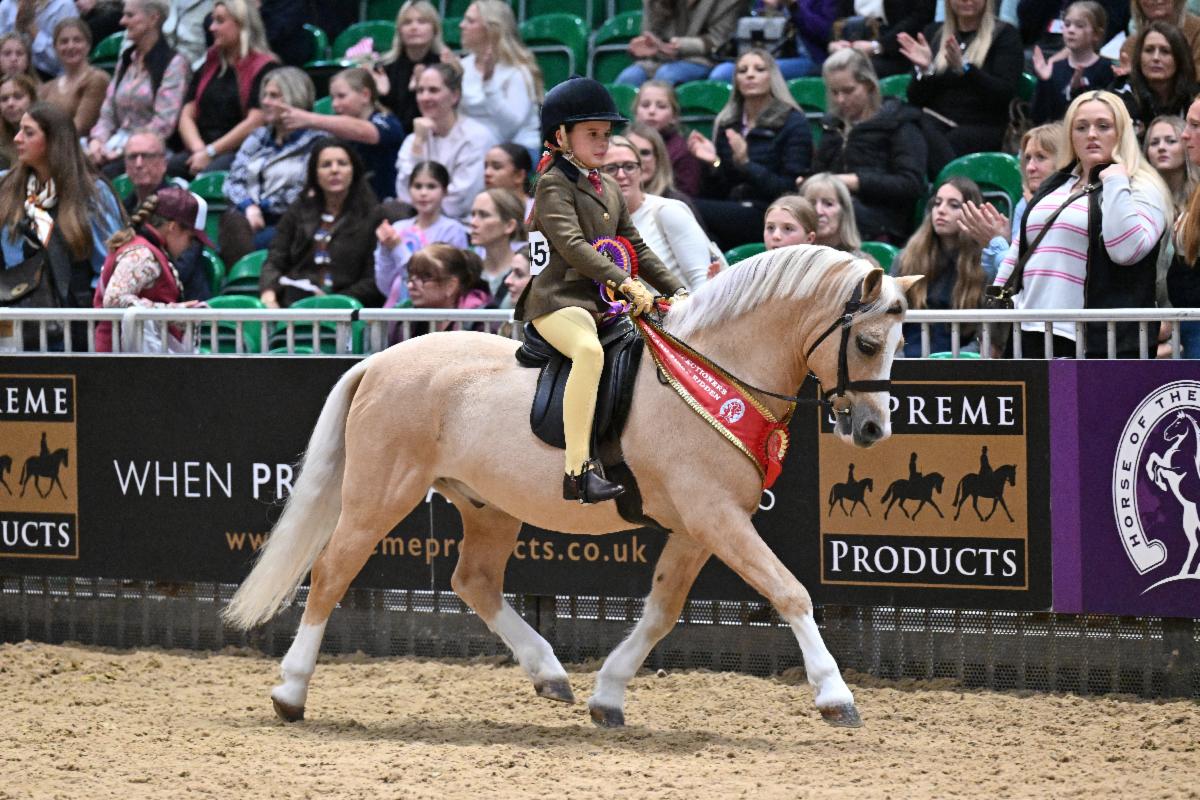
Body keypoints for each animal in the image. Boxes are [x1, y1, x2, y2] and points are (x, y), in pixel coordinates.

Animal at [222, 245, 921, 730]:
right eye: (867, 342)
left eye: (899, 342)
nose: (871, 428)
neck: (715, 372)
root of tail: (377, 361)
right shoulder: (716, 517)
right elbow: (791, 592)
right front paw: (835, 695)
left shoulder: (700, 528)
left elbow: (662, 611)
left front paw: (607, 696)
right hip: (379, 497)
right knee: (332, 572)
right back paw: (290, 691)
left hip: (488, 505)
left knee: (473, 581)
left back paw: (549, 673)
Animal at [1146, 412, 1200, 576]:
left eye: (1177, 423)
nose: (1165, 434)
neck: (1182, 450)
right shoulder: (1164, 462)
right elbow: (1153, 457)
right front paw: (1153, 477)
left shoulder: (1177, 471)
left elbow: (1159, 467)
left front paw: (1161, 485)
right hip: (1188, 523)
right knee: (1195, 543)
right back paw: (1185, 571)